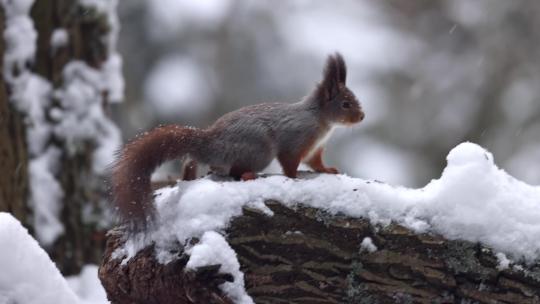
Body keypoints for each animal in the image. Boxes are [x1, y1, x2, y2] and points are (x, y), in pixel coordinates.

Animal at [113, 53, 368, 228]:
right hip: (260, 150)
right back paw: (248, 175)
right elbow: (289, 163)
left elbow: (316, 163)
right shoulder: (295, 140)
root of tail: (209, 143)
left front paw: (328, 170)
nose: (362, 117)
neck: (321, 120)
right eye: (346, 104)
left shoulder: (315, 149)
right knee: (235, 171)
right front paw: (294, 178)